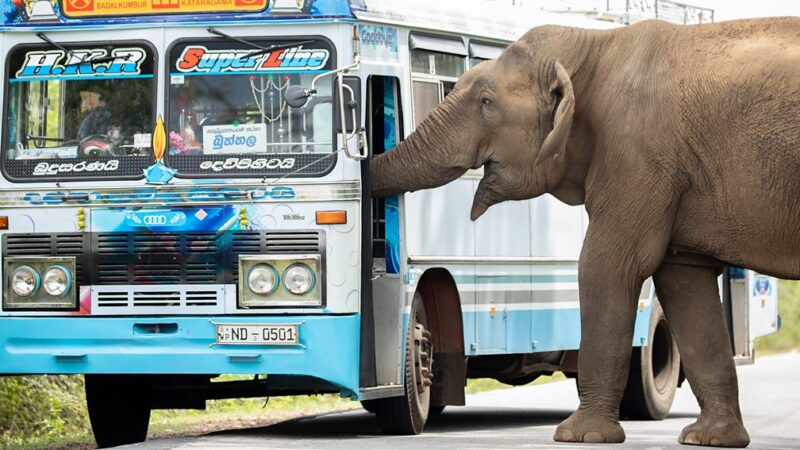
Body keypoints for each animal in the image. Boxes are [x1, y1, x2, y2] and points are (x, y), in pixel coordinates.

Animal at [370, 18, 800, 447]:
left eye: (486, 103)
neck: (594, 45)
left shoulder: (637, 155)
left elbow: (606, 265)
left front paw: (579, 435)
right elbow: (683, 281)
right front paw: (708, 439)